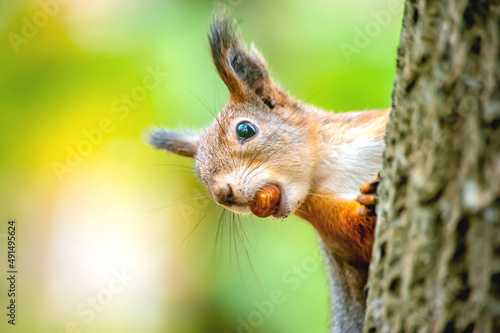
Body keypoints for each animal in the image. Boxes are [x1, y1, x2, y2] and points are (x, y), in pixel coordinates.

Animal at [148, 10, 390, 332]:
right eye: (200, 175)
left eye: (245, 130)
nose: (222, 195)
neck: (333, 165)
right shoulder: (333, 226)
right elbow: (362, 239)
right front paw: (372, 199)